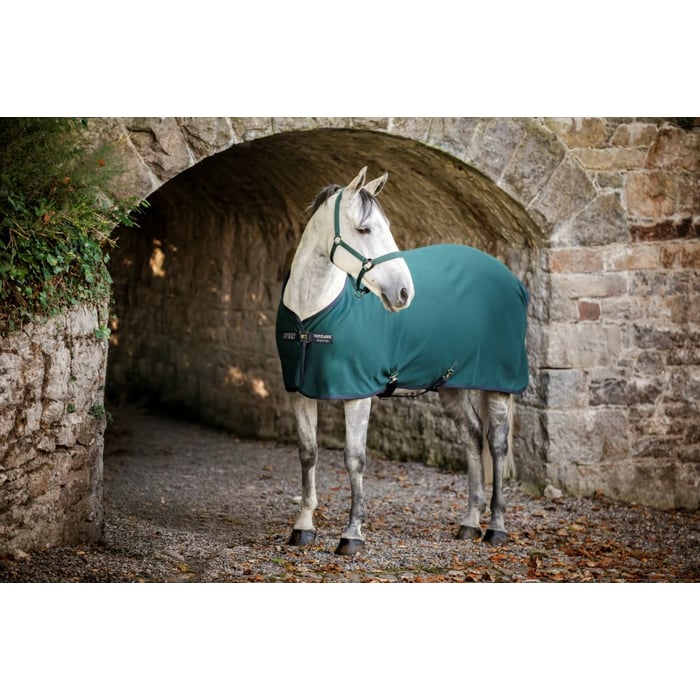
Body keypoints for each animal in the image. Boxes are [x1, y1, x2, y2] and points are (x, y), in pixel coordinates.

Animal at [275, 167, 529, 554]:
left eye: (388, 226)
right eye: (365, 229)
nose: (404, 293)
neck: (312, 315)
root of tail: (511, 280)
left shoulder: (357, 394)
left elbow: (354, 459)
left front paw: (352, 534)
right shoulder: (300, 392)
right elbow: (308, 453)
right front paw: (303, 527)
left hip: (498, 385)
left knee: (497, 444)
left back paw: (496, 528)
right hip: (451, 385)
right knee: (472, 437)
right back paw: (470, 522)